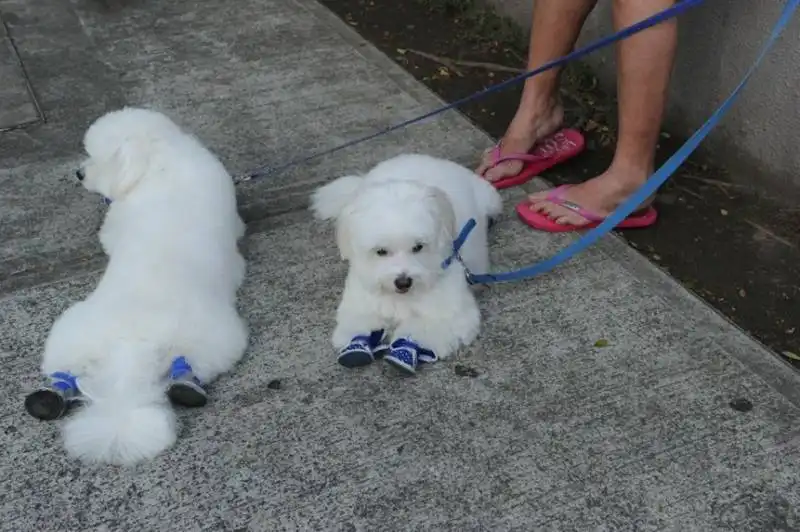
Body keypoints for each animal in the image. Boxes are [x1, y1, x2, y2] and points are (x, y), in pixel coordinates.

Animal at [310, 153, 500, 374]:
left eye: (418, 247)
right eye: (381, 251)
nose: (403, 282)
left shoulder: (452, 314)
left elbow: (423, 328)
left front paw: (405, 350)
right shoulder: (361, 302)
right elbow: (362, 323)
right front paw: (357, 345)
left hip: (490, 197)